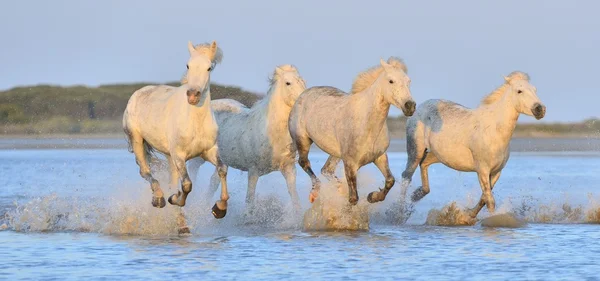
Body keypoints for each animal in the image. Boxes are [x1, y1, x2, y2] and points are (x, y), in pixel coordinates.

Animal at [123, 40, 231, 232]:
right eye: (188, 65)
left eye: (209, 68)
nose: (193, 96)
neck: (195, 120)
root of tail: (137, 93)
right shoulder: (179, 155)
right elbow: (187, 185)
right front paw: (174, 198)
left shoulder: (210, 151)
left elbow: (222, 169)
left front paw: (219, 209)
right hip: (138, 141)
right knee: (145, 171)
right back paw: (159, 199)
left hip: (168, 156)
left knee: (170, 180)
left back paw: (181, 224)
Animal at [188, 64, 308, 210]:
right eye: (288, 83)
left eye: (302, 81)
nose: (305, 101)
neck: (271, 133)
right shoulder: (253, 171)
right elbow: (249, 201)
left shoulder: (289, 168)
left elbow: (295, 200)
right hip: (199, 157)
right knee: (193, 171)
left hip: (222, 161)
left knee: (214, 181)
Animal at [288, 57, 414, 206]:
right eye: (391, 81)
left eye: (408, 81)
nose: (410, 106)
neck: (367, 125)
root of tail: (302, 95)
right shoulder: (350, 163)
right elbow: (353, 199)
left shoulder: (379, 157)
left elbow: (390, 181)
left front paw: (372, 197)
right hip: (302, 141)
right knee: (304, 163)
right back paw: (315, 193)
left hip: (335, 153)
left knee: (326, 170)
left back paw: (339, 189)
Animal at [404, 71, 548, 218]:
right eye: (519, 91)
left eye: (535, 90)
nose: (540, 109)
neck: (494, 131)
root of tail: (419, 107)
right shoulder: (482, 170)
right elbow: (489, 200)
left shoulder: (496, 172)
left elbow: (484, 198)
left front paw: (468, 215)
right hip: (416, 150)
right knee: (407, 175)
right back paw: (400, 210)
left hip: (438, 155)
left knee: (424, 164)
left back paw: (416, 195)